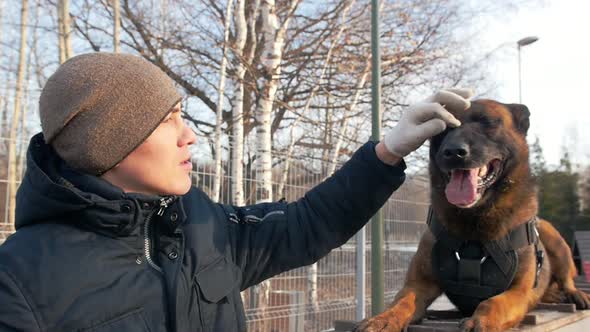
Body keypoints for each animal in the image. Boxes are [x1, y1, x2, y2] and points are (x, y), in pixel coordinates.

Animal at [356, 100, 590, 330]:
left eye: (488, 122)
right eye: (445, 128)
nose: (453, 152)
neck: (474, 221)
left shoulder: (519, 292)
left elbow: (493, 302)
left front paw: (480, 321)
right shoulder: (418, 284)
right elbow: (402, 301)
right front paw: (383, 319)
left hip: (554, 239)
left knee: (566, 278)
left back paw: (574, 294)